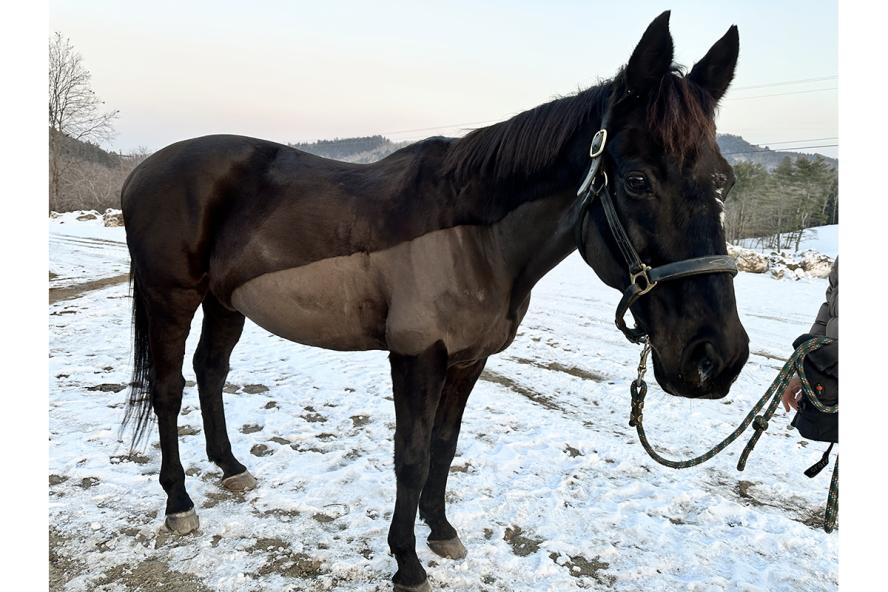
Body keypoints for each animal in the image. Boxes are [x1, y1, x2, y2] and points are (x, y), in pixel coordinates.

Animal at [123, 11, 748, 588]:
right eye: (638, 180)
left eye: (724, 180)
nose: (716, 357)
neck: (475, 237)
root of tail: (142, 171)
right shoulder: (416, 355)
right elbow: (412, 455)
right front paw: (406, 561)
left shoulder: (470, 359)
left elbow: (444, 447)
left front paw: (441, 531)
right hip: (171, 296)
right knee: (169, 387)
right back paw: (179, 502)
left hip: (226, 302)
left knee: (210, 370)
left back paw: (230, 468)